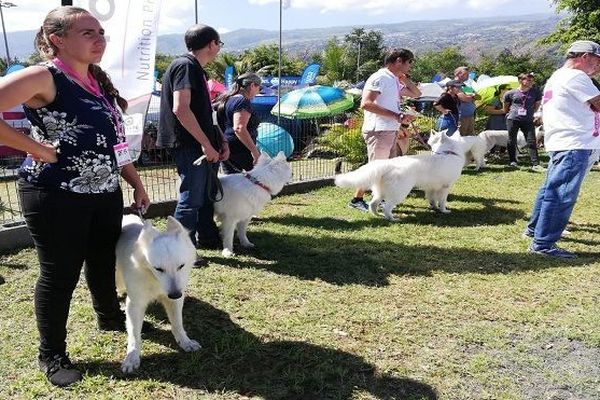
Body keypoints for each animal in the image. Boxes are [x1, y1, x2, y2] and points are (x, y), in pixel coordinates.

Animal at [113, 214, 197, 374]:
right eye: (159, 269)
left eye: (181, 266)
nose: (175, 294)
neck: (154, 278)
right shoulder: (135, 305)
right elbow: (134, 334)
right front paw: (132, 357)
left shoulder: (175, 300)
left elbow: (177, 323)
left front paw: (185, 341)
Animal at [336, 130, 466, 222]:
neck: (448, 153)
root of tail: (387, 164)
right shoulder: (445, 187)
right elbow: (442, 201)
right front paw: (444, 210)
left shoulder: (431, 188)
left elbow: (432, 199)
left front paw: (434, 207)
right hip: (400, 193)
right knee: (387, 207)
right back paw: (392, 219)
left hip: (380, 192)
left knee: (373, 204)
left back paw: (378, 215)